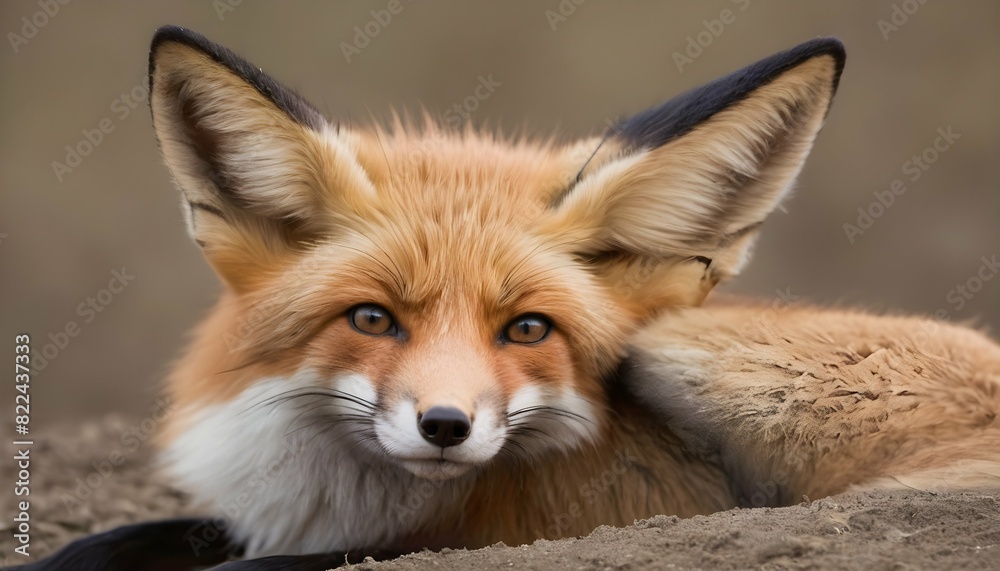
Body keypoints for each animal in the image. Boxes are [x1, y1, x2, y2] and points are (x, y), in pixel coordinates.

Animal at [17, 26, 1000, 571]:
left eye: (527, 328)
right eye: (373, 318)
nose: (446, 425)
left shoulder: (527, 525)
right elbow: (120, 539)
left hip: (685, 348)